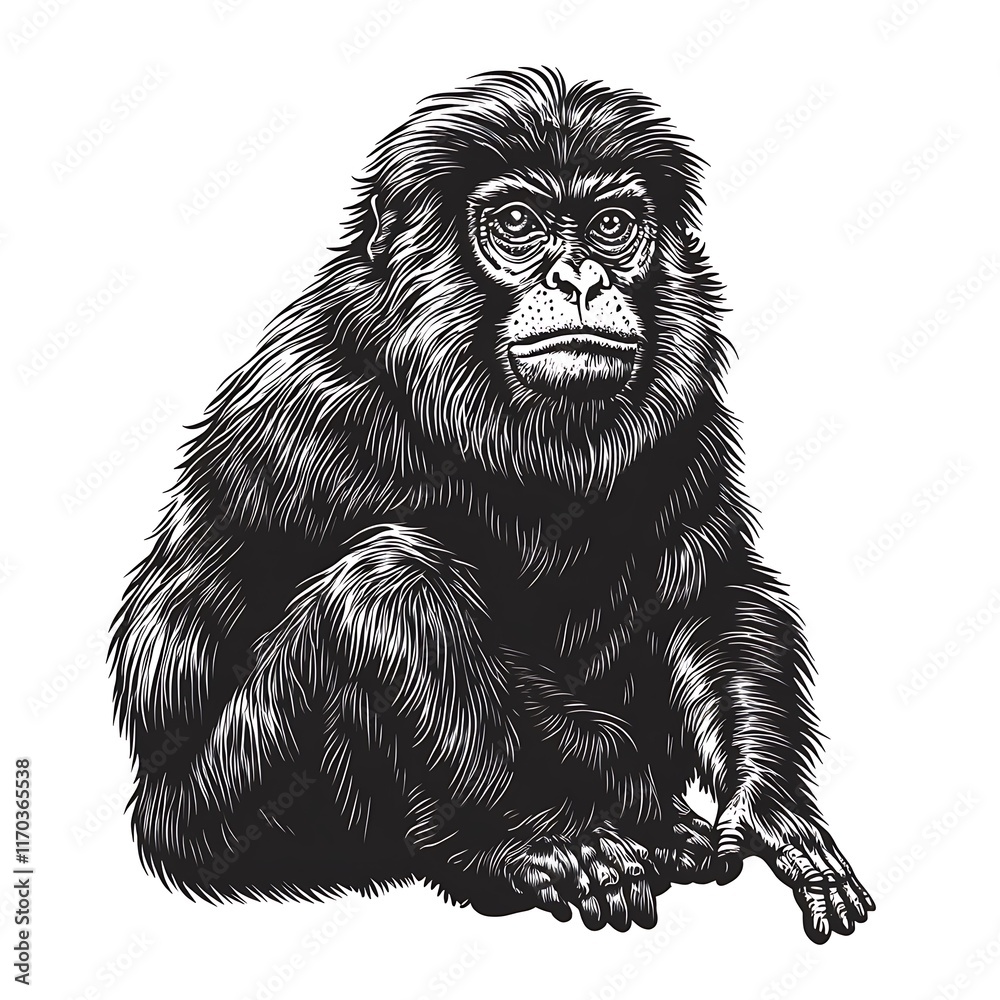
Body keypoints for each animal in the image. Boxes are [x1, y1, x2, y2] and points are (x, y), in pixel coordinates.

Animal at [111, 68, 873, 943]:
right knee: (390, 584)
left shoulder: (689, 423)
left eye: (612, 226)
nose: (580, 278)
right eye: (516, 223)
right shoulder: (308, 419)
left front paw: (771, 811)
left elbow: (708, 595)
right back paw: (515, 846)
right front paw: (632, 800)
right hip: (221, 817)